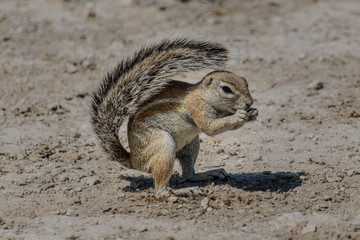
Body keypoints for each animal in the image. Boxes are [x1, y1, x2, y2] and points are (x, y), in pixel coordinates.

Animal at [91, 37, 258, 195]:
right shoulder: (196, 107)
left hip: (191, 145)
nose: (250, 102)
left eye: (245, 82)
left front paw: (253, 113)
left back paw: (209, 174)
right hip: (163, 147)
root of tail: (133, 160)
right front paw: (238, 116)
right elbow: (210, 127)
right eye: (226, 89)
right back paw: (181, 191)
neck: (202, 95)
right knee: (160, 190)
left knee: (188, 174)